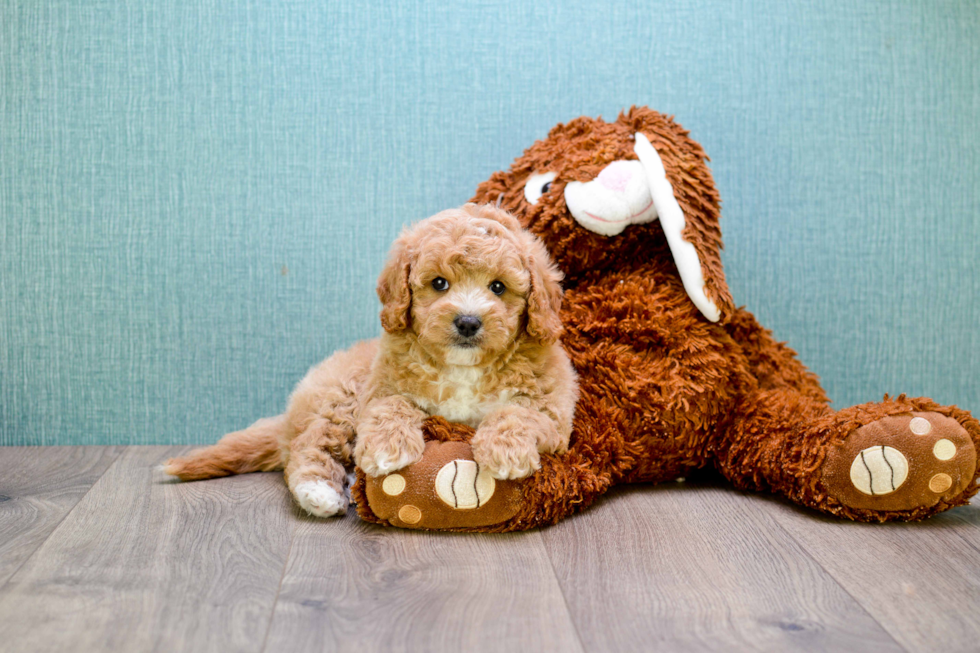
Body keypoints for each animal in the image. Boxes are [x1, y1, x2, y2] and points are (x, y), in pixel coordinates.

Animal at [165, 204, 580, 520]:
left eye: (498, 287)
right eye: (439, 283)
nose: (467, 321)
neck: (463, 368)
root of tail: (287, 419)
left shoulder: (553, 412)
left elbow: (518, 413)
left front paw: (503, 451)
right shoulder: (380, 388)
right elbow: (390, 406)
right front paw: (386, 448)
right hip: (338, 400)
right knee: (308, 448)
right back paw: (319, 492)